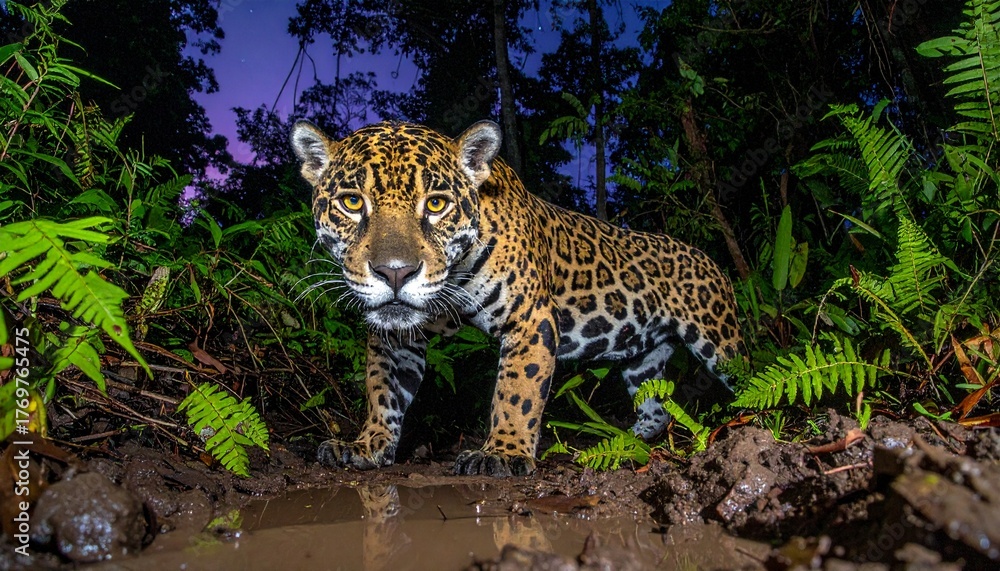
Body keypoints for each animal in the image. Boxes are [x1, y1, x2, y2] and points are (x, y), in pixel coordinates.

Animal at [291, 119, 742, 477]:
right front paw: (367, 444)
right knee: (656, 408)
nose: (395, 272)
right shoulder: (398, 338)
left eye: (436, 205)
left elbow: (516, 391)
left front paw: (503, 453)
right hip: (642, 361)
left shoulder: (531, 319)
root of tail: (711, 260)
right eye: (352, 202)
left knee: (744, 376)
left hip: (719, 342)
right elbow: (383, 390)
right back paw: (625, 441)